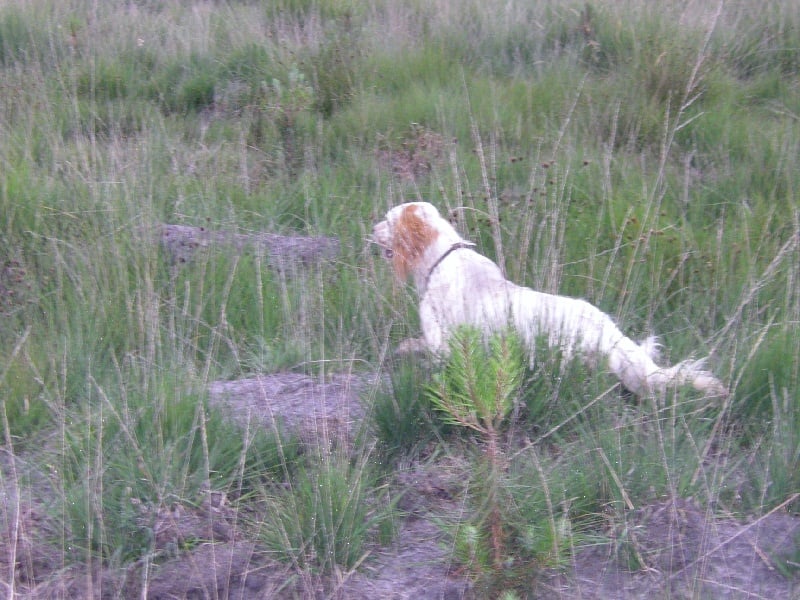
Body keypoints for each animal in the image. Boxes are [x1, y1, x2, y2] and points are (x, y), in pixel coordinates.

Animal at [372, 202, 728, 398]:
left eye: (387, 220)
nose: (371, 229)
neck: (441, 257)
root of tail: (610, 335)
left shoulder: (442, 343)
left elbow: (421, 348)